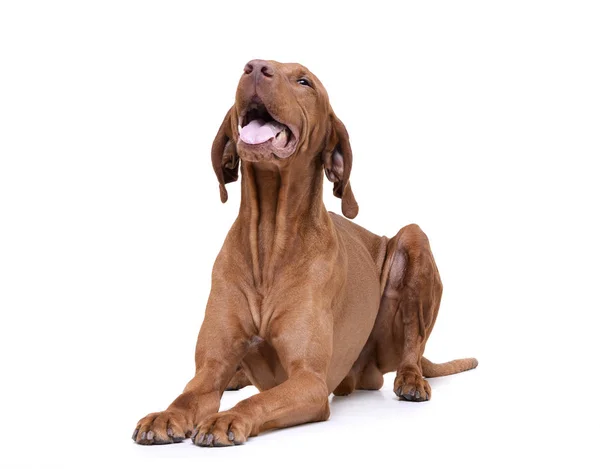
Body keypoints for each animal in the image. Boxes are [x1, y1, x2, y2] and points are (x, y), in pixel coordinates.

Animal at [132, 59, 478, 446]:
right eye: (249, 68)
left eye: (303, 81)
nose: (255, 67)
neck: (269, 239)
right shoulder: (210, 367)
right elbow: (189, 394)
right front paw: (165, 415)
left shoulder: (309, 380)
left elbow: (259, 401)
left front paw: (226, 419)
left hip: (413, 241)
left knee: (412, 347)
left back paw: (411, 379)